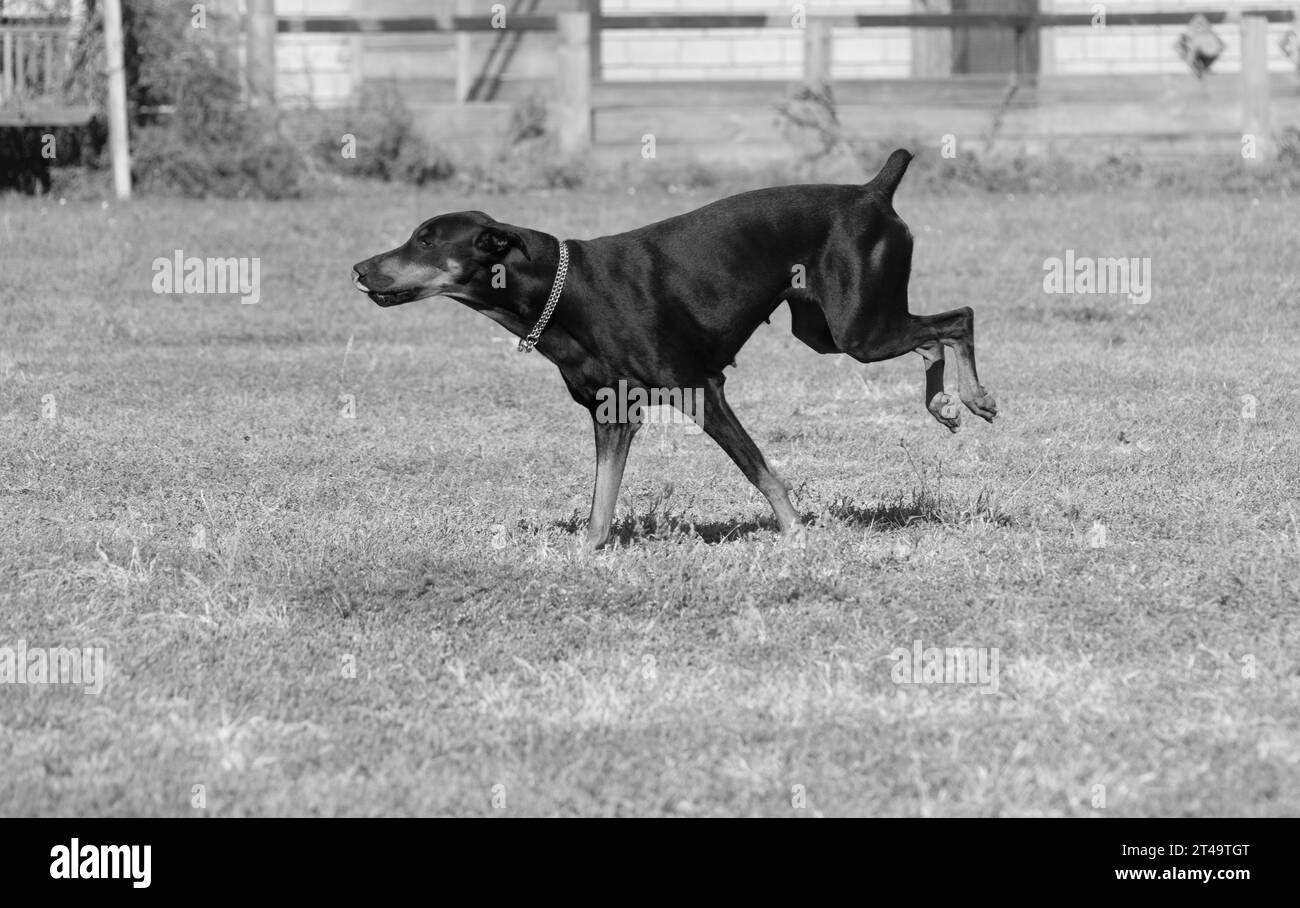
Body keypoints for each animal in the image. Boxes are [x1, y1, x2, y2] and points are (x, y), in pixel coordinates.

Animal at [356, 149, 993, 548]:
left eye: (427, 240)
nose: (359, 268)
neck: (570, 292)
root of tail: (871, 191)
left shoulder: (699, 390)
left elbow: (759, 470)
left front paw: (797, 534)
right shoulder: (611, 413)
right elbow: (600, 503)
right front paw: (584, 553)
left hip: (859, 329)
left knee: (958, 319)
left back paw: (973, 396)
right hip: (826, 333)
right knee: (930, 338)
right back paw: (943, 404)